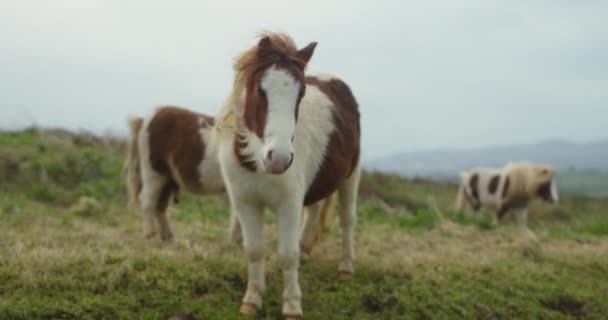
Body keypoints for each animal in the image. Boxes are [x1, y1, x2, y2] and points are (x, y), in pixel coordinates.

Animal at [215, 33, 360, 320]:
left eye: (300, 94)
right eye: (261, 90)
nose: (279, 158)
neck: (256, 161)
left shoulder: (289, 204)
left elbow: (286, 255)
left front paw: (292, 305)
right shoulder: (245, 203)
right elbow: (254, 250)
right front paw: (252, 300)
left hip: (351, 177)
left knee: (347, 220)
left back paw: (346, 268)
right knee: (314, 212)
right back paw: (306, 251)